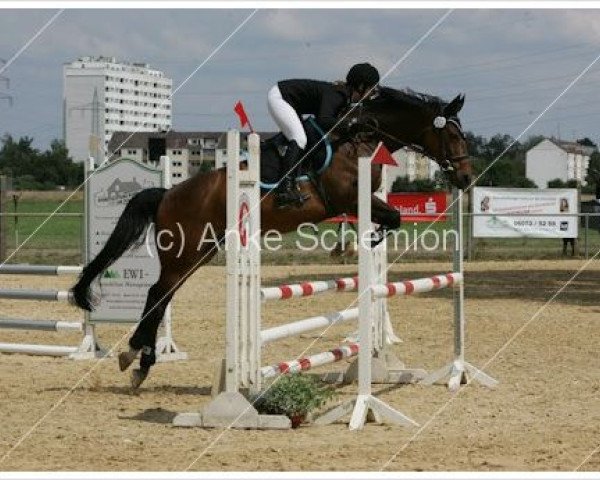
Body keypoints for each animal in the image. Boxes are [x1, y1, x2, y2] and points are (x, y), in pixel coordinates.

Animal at [71, 86, 474, 388]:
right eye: (452, 133)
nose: (466, 178)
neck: (359, 139)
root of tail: (168, 193)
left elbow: (391, 219)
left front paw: (361, 242)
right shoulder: (347, 199)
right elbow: (391, 218)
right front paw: (364, 241)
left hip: (201, 251)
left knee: (164, 295)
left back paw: (140, 358)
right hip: (185, 250)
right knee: (158, 293)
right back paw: (136, 356)